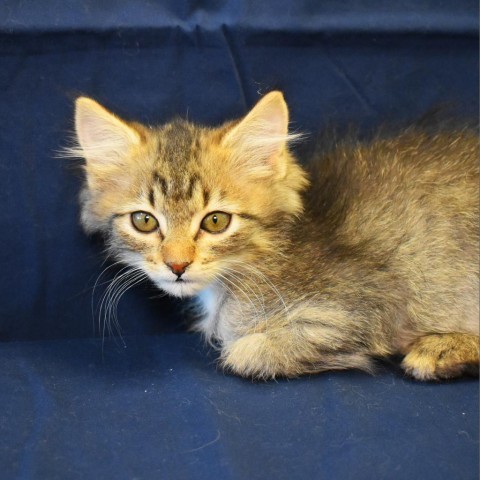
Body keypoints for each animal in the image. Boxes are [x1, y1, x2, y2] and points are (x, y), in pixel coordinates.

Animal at [69, 92, 478, 380]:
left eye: (215, 221)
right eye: (144, 221)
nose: (177, 265)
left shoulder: (365, 306)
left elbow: (241, 353)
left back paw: (441, 351)